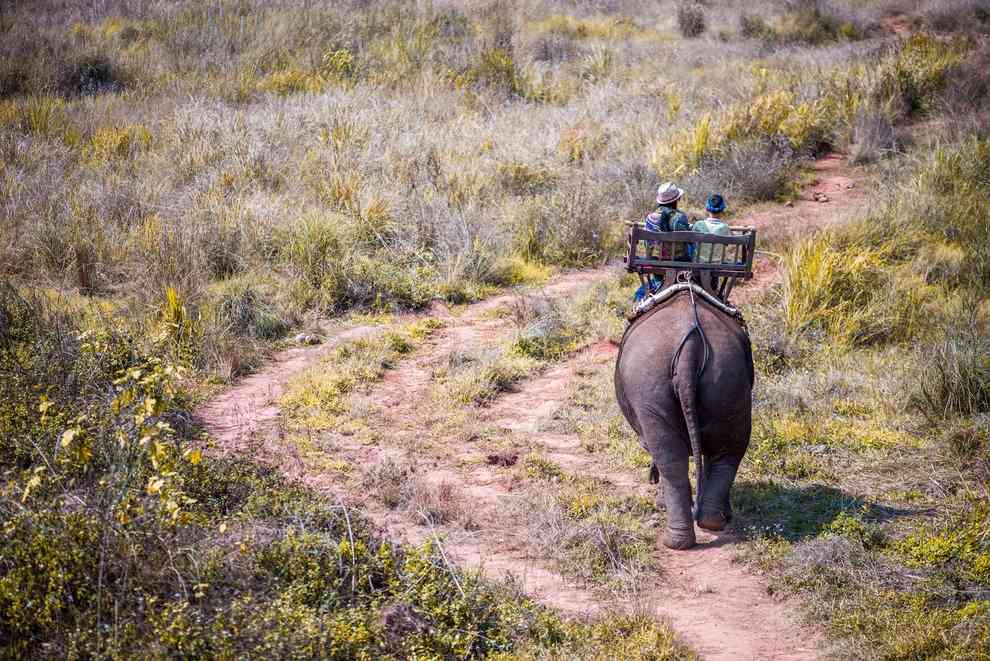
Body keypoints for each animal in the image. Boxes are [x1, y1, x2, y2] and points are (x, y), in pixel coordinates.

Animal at [616, 286, 756, 548]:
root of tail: (690, 349)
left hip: (648, 384)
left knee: (671, 457)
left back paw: (679, 537)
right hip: (726, 377)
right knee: (727, 448)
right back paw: (710, 522)